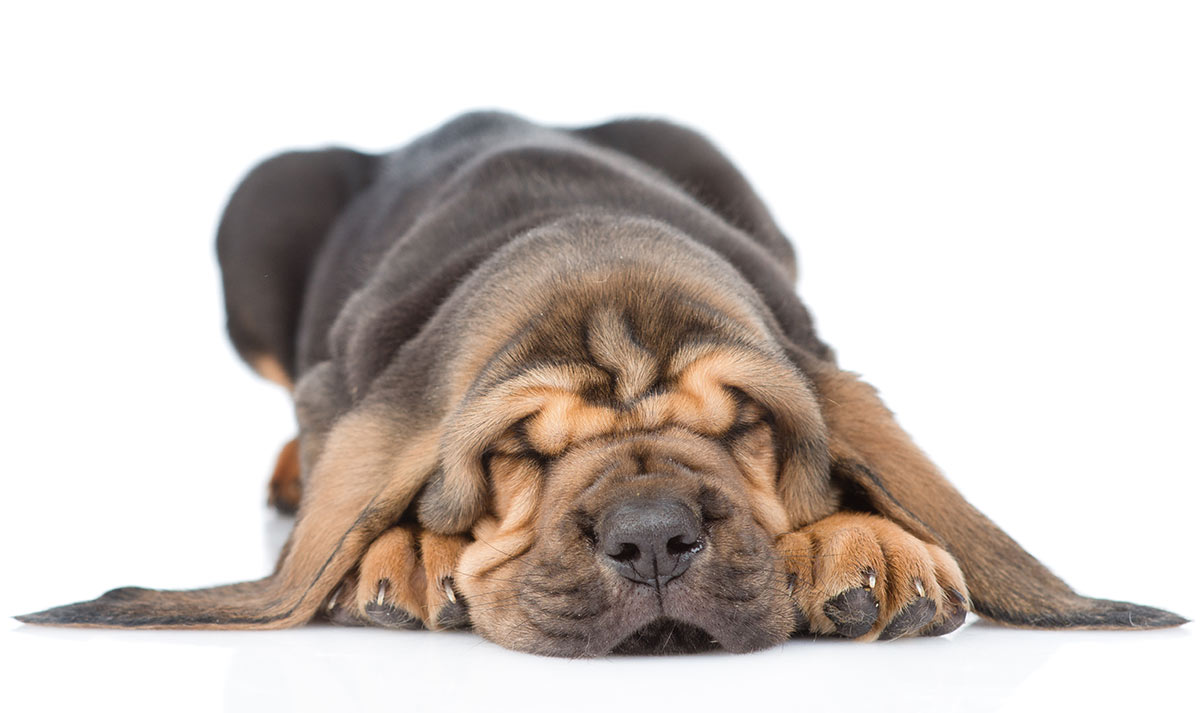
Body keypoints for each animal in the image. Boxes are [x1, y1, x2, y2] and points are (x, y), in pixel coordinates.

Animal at [14, 112, 1185, 652]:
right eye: (516, 453)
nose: (656, 538)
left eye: (747, 426)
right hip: (258, 215)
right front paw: (406, 547)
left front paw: (872, 542)